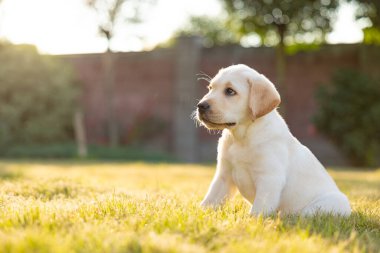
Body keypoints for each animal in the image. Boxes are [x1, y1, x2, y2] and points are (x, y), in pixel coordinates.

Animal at [197, 64, 352, 216]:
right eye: (210, 88)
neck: (242, 137)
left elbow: (258, 210)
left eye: (230, 91)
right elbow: (211, 198)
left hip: (330, 203)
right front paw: (199, 214)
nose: (200, 106)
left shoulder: (269, 179)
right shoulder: (224, 175)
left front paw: (253, 221)